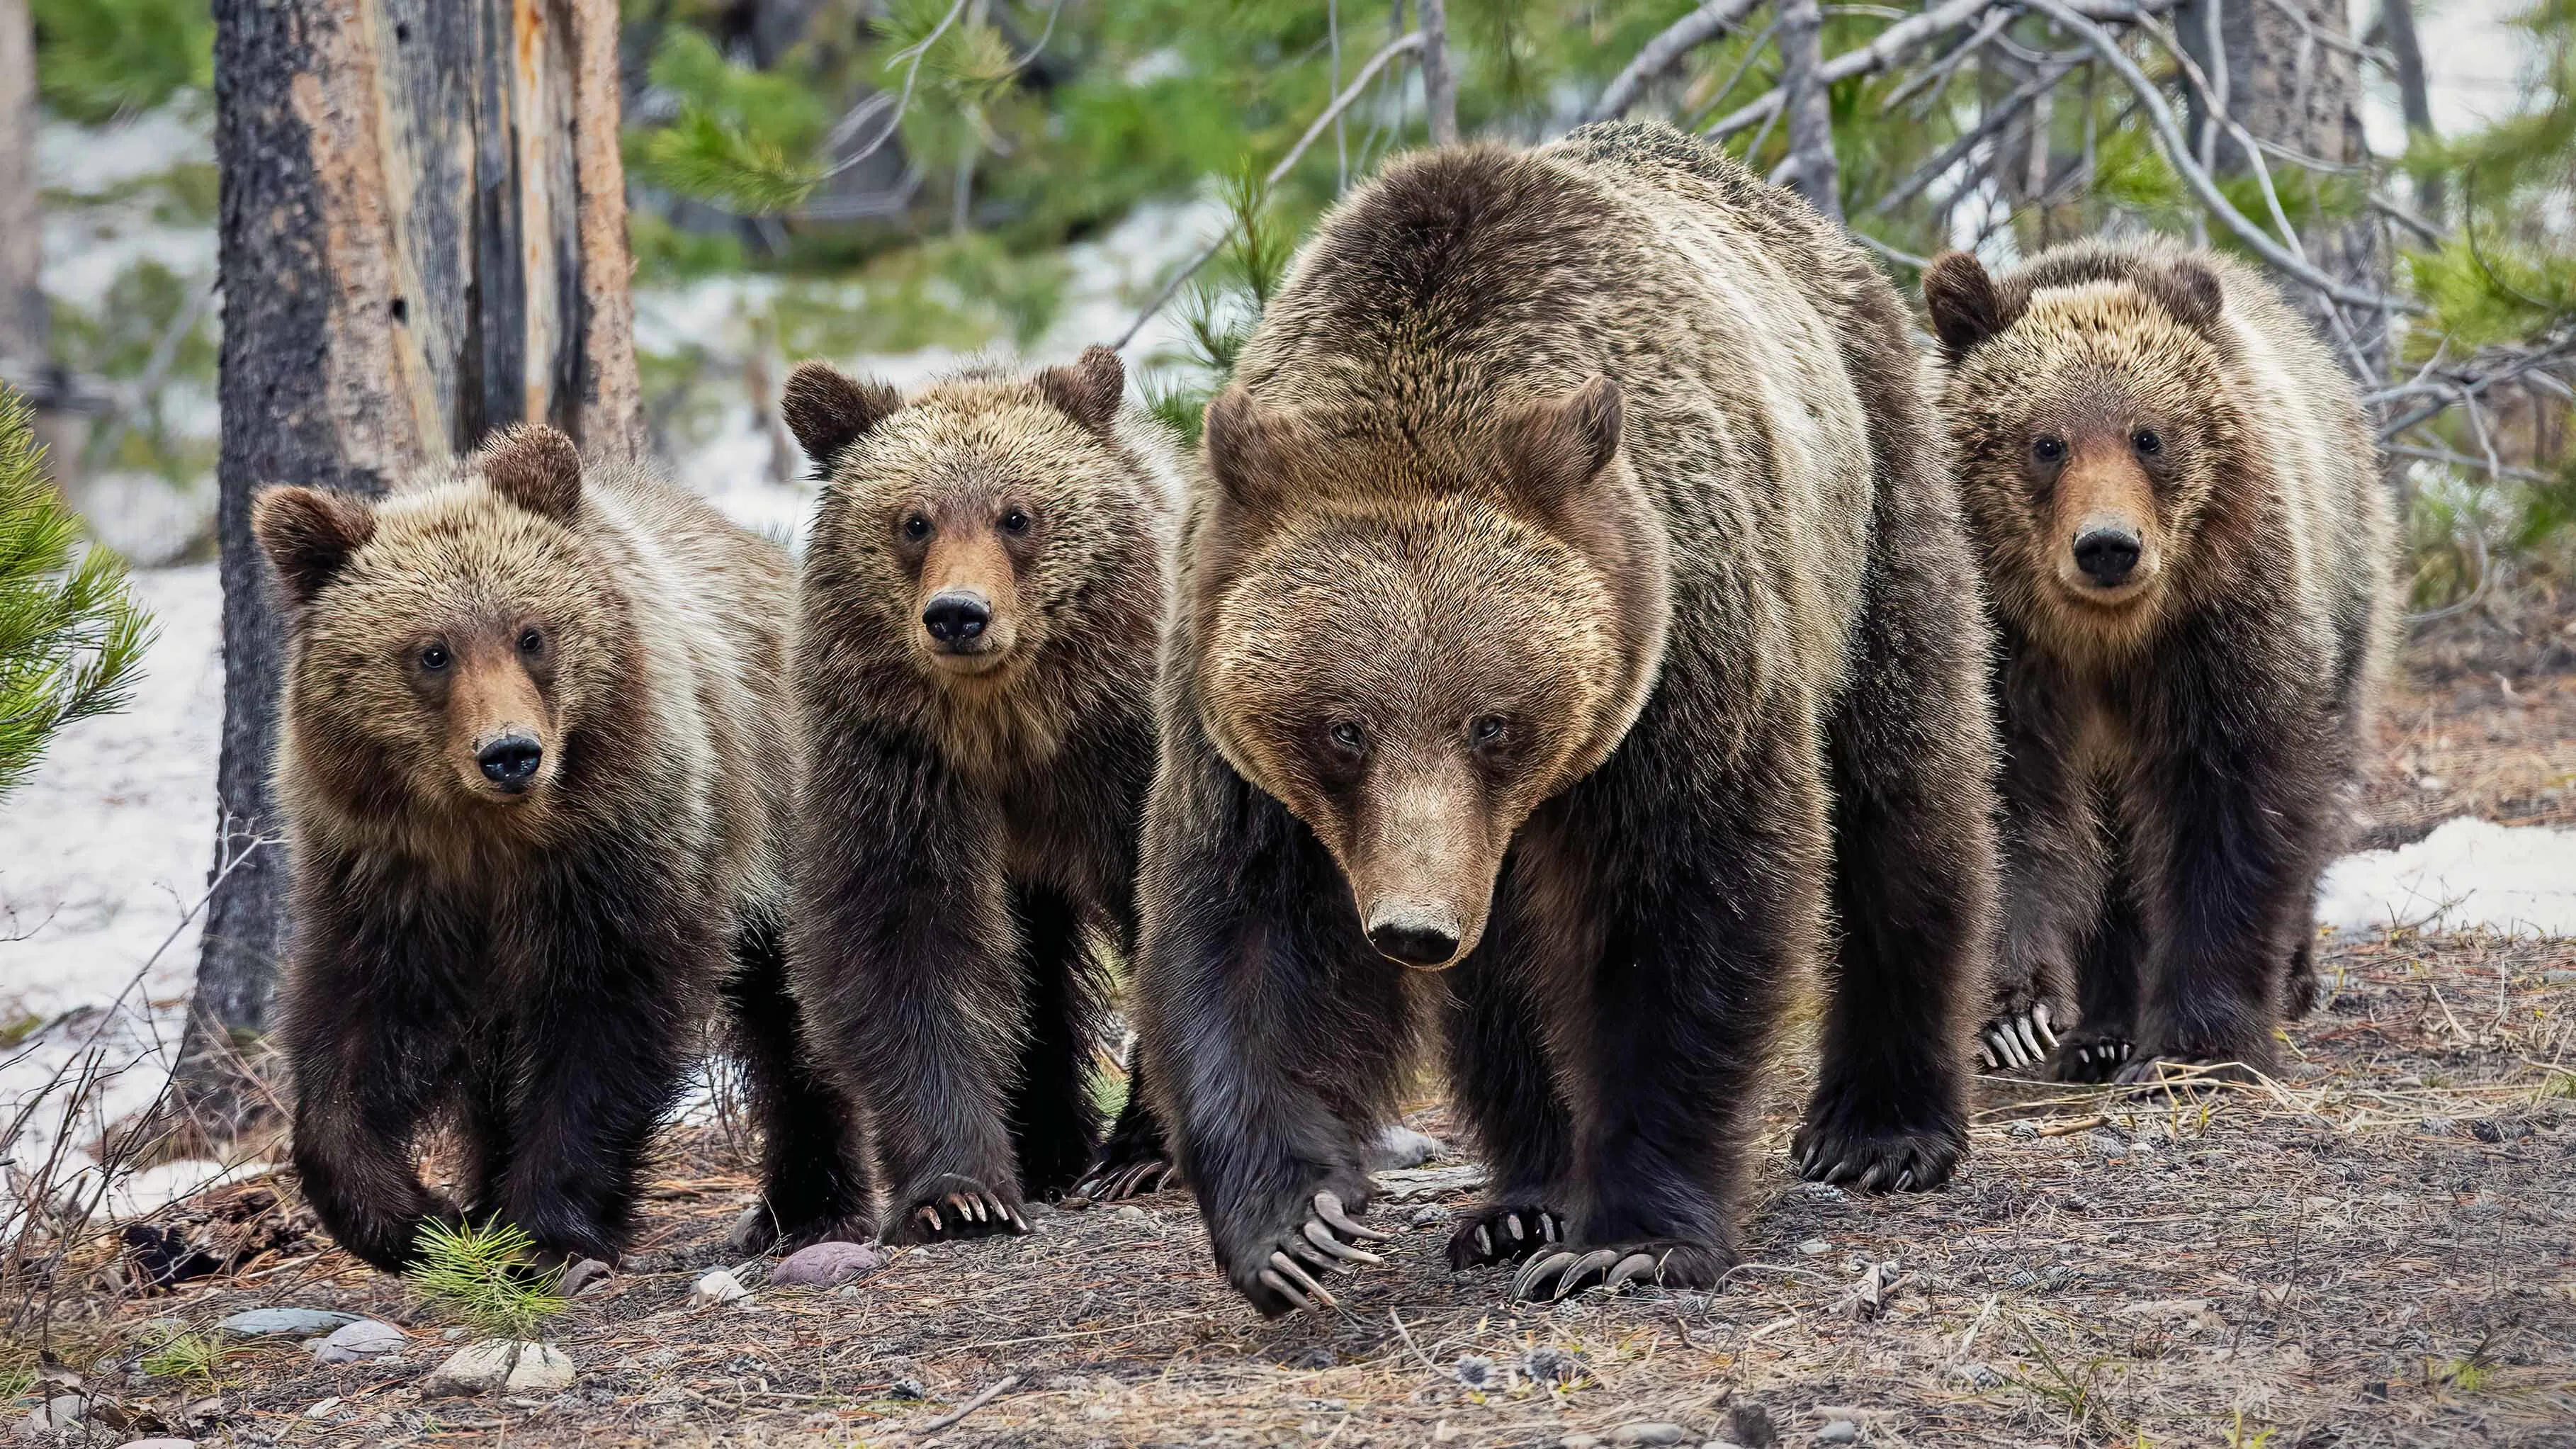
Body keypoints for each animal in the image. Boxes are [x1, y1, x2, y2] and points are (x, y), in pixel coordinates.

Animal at [254, 423, 871, 1274]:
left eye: (532, 634)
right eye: (433, 651)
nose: (511, 752)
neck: (495, 836)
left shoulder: (621, 844)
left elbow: (603, 1017)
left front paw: (544, 1227)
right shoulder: (388, 873)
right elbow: (358, 1031)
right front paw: (419, 1215)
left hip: (785, 809)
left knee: (794, 1013)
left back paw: (809, 1204)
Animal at [781, 345, 1185, 1243]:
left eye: (1017, 516)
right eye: (914, 521)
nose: (958, 614)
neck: (1010, 727)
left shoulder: (1124, 754)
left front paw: (1145, 1151)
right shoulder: (899, 765)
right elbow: (903, 943)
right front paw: (958, 1192)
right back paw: (1048, 1146)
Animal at [1129, 120, 2002, 1317]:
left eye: (1492, 721)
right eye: (1343, 728)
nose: (1411, 926)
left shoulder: (1682, 646)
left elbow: (1683, 908)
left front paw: (1628, 1237)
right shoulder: (1230, 703)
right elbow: (1245, 924)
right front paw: (1294, 1226)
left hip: (1872, 513)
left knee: (1902, 794)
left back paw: (1883, 1127)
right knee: (1503, 975)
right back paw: (1521, 1198)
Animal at [1920, 239, 2394, 1084]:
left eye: (2149, 436)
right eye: (2046, 442)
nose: (2108, 545)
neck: (2103, 639)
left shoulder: (2217, 633)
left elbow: (2231, 809)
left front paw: (2195, 1041)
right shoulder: (2005, 652)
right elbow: (2005, 808)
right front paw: (2014, 1017)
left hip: (2346, 588)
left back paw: (2294, 975)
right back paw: (2102, 1030)